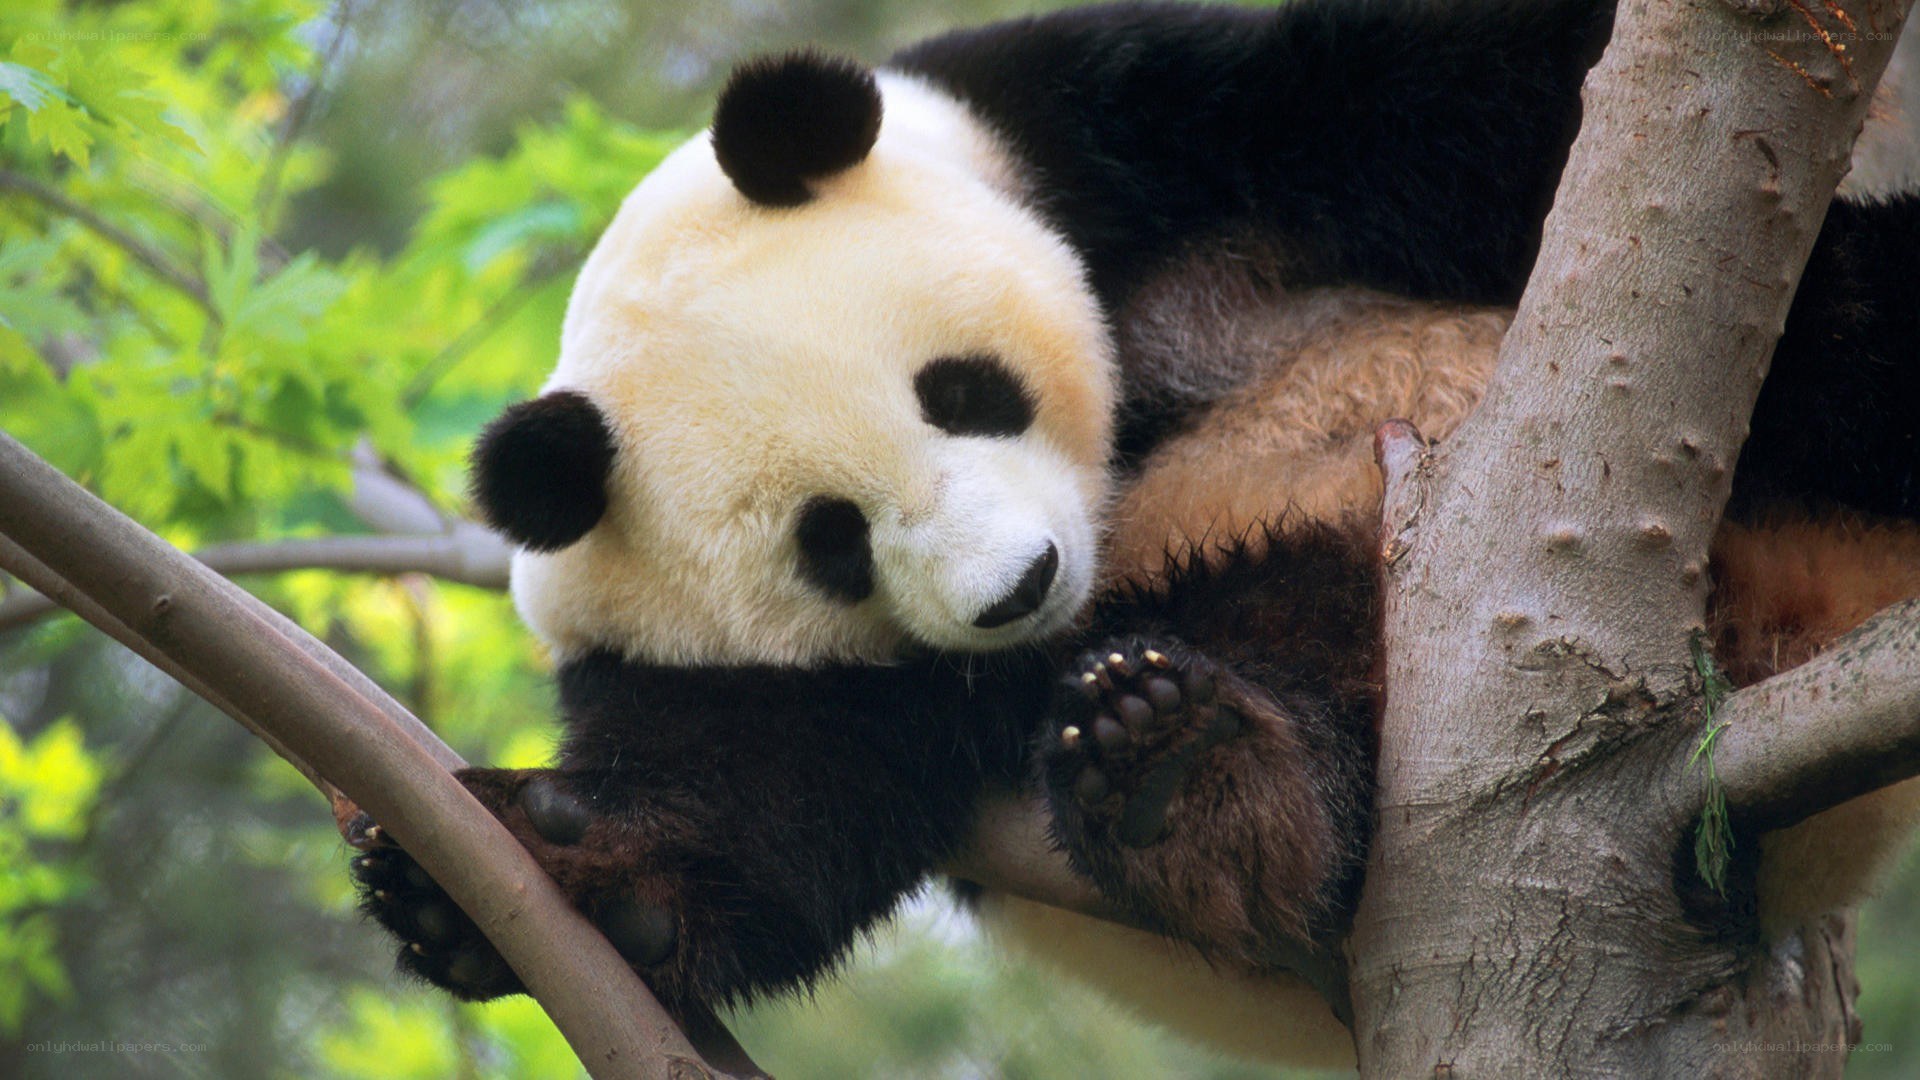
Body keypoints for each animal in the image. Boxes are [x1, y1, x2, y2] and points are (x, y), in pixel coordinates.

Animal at [349, 0, 1920, 1067]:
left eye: (960, 392)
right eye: (832, 543)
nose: (1021, 587)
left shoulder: (1124, 126)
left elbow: (1455, 93)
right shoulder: (741, 664)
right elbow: (770, 790)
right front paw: (523, 878)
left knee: (1834, 334)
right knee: (1295, 638)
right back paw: (1192, 775)